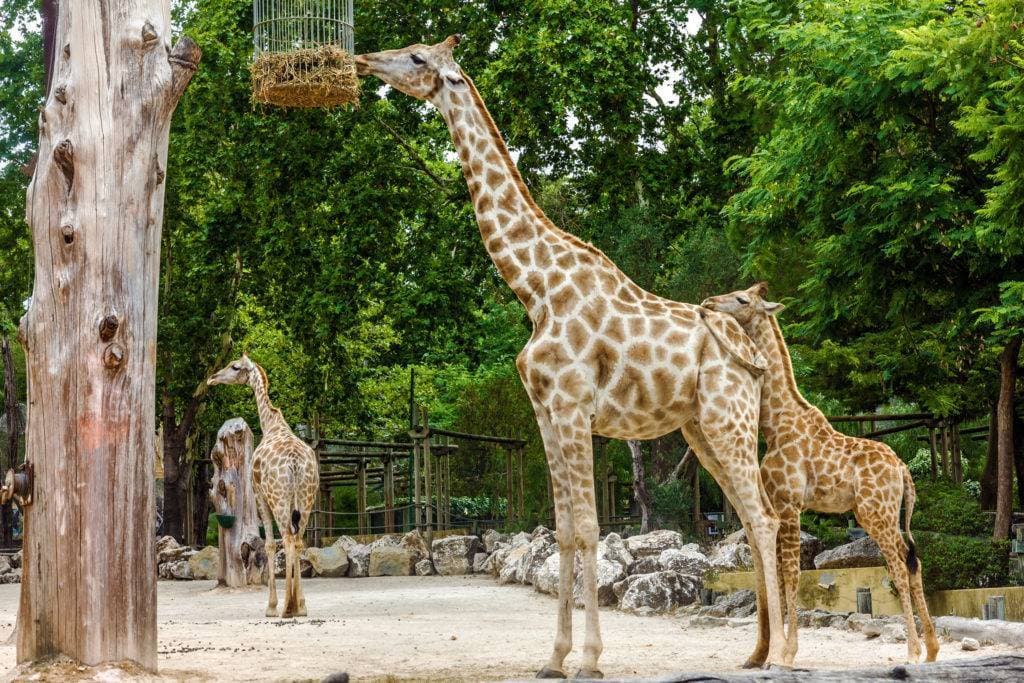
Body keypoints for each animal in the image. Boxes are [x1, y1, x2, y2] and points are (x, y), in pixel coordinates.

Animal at [205, 352, 317, 618]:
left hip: (279, 499)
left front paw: (272, 606)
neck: (272, 425)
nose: (212, 378)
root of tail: (295, 464)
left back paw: (286, 607)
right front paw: (300, 605)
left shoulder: (259, 497)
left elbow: (268, 544)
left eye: (235, 367)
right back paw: (299, 606)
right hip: (307, 499)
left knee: (287, 538)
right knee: (298, 541)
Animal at [356, 38, 786, 679]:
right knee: (751, 519)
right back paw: (755, 652)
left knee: (763, 517)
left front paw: (588, 657)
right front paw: (554, 657)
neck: (534, 287)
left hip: (727, 423)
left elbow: (587, 528)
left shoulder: (573, 408)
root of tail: (752, 358)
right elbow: (560, 530)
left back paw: (783, 652)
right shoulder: (544, 414)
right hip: (703, 430)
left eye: (416, 59)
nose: (364, 60)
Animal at [704, 282, 937, 667]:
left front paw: (786, 654)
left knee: (900, 565)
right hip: (885, 514)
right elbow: (781, 574)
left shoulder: (789, 504)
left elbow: (792, 574)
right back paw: (932, 649)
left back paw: (913, 652)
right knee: (913, 561)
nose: (708, 302)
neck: (776, 426)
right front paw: (783, 651)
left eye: (741, 299)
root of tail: (904, 470)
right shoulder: (779, 504)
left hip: (875, 513)